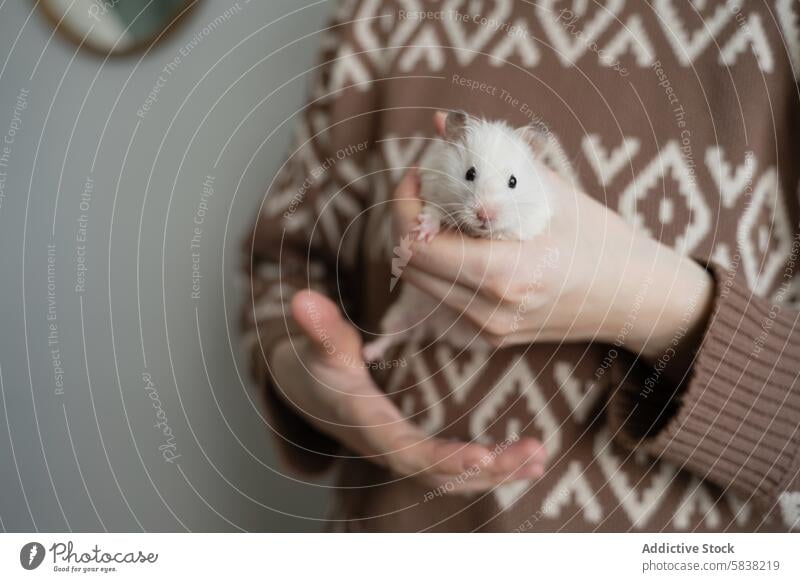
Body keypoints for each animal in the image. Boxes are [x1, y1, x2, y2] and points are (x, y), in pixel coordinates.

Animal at [366, 111, 552, 362]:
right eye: (469, 173)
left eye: (513, 181)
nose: (485, 216)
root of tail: (433, 327)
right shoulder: (431, 186)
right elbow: (434, 211)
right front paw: (423, 233)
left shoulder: (533, 219)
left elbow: (510, 232)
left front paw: (495, 234)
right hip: (401, 313)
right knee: (390, 335)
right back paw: (367, 353)